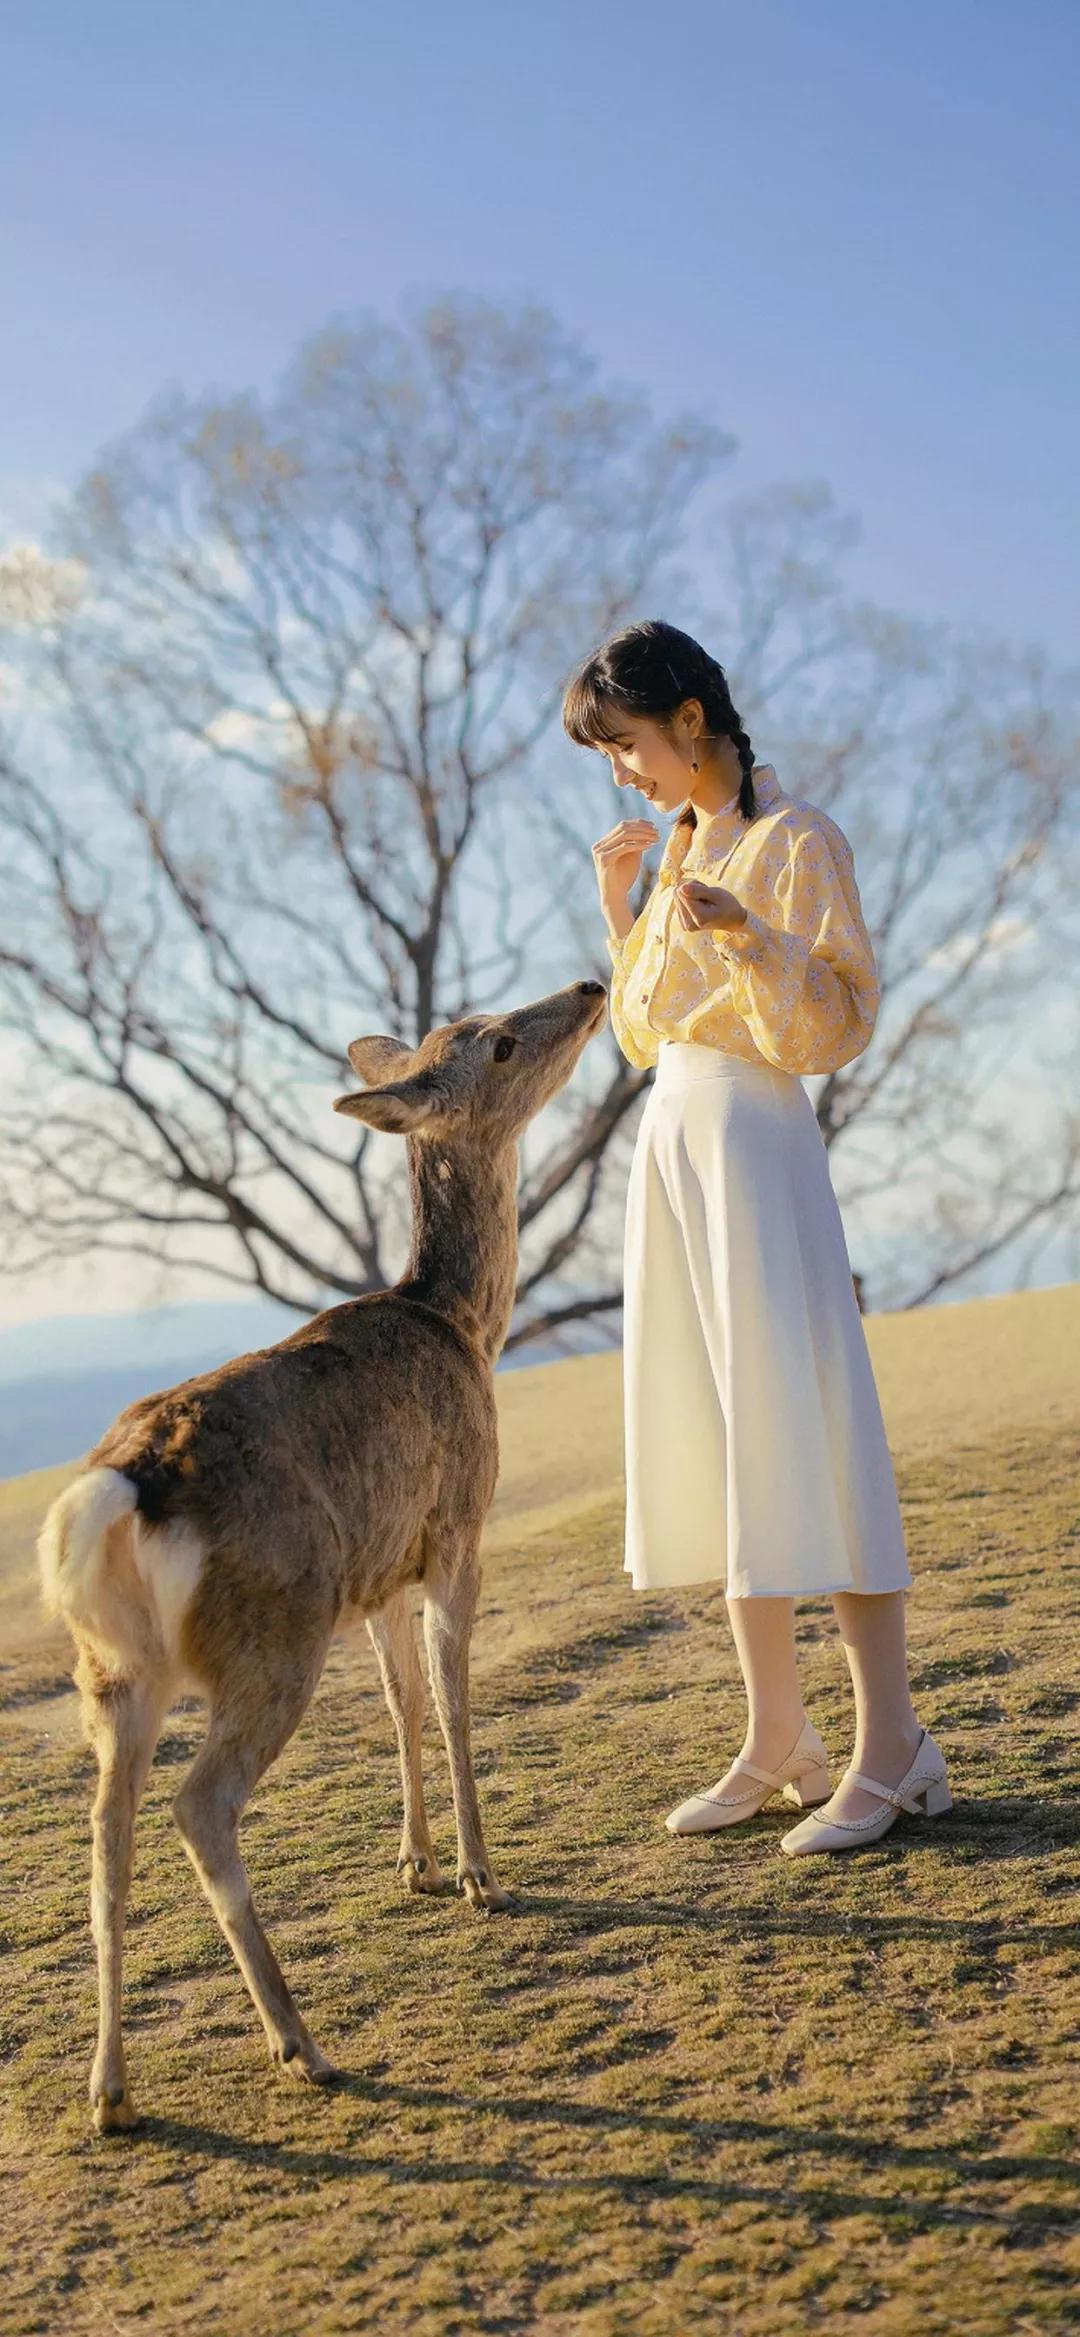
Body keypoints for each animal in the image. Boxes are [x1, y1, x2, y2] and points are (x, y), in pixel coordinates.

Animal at [37, 976, 607, 2131]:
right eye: (499, 1042)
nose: (588, 985)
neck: (466, 1326)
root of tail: (130, 1483)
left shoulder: (377, 1573)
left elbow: (399, 1702)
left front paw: (414, 1864)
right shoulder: (456, 1526)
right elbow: (453, 1696)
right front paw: (481, 1877)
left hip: (113, 1671)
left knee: (105, 1835)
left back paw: (110, 2091)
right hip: (273, 1627)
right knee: (198, 1804)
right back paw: (301, 2044)